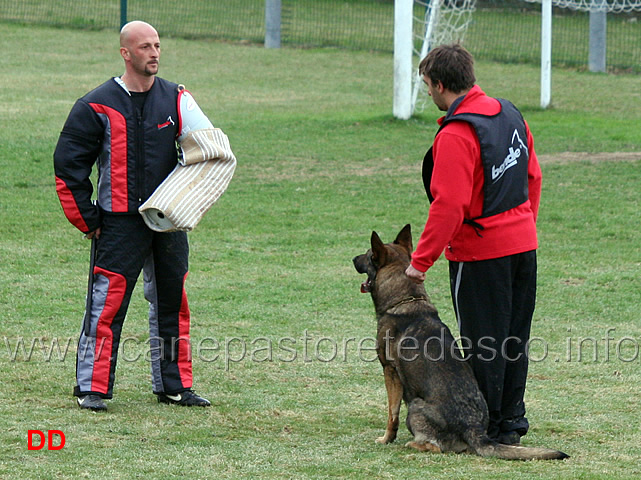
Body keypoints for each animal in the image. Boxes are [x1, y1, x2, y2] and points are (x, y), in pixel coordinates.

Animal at [352, 226, 568, 462]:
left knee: (434, 447)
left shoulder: (390, 372)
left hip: (415, 406)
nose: (353, 259)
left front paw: (386, 439)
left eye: (367, 255)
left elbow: (392, 415)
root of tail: (475, 429)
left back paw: (412, 444)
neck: (407, 298)